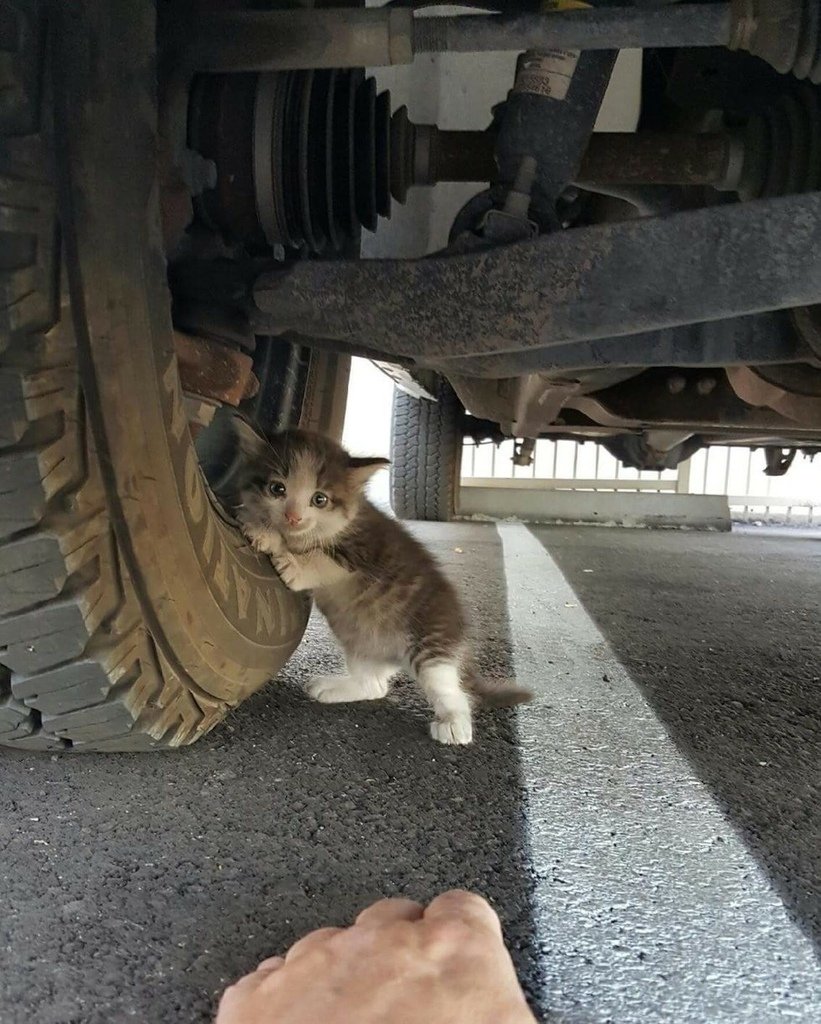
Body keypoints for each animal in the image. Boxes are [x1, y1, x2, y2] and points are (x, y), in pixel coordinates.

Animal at [233, 423, 528, 745]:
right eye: (278, 489)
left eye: (319, 499)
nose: (293, 516)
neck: (342, 524)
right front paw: (260, 524)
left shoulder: (365, 551)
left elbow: (318, 558)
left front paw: (278, 545)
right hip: (361, 644)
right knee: (375, 686)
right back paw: (335, 688)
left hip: (430, 641)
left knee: (450, 688)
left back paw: (454, 723)